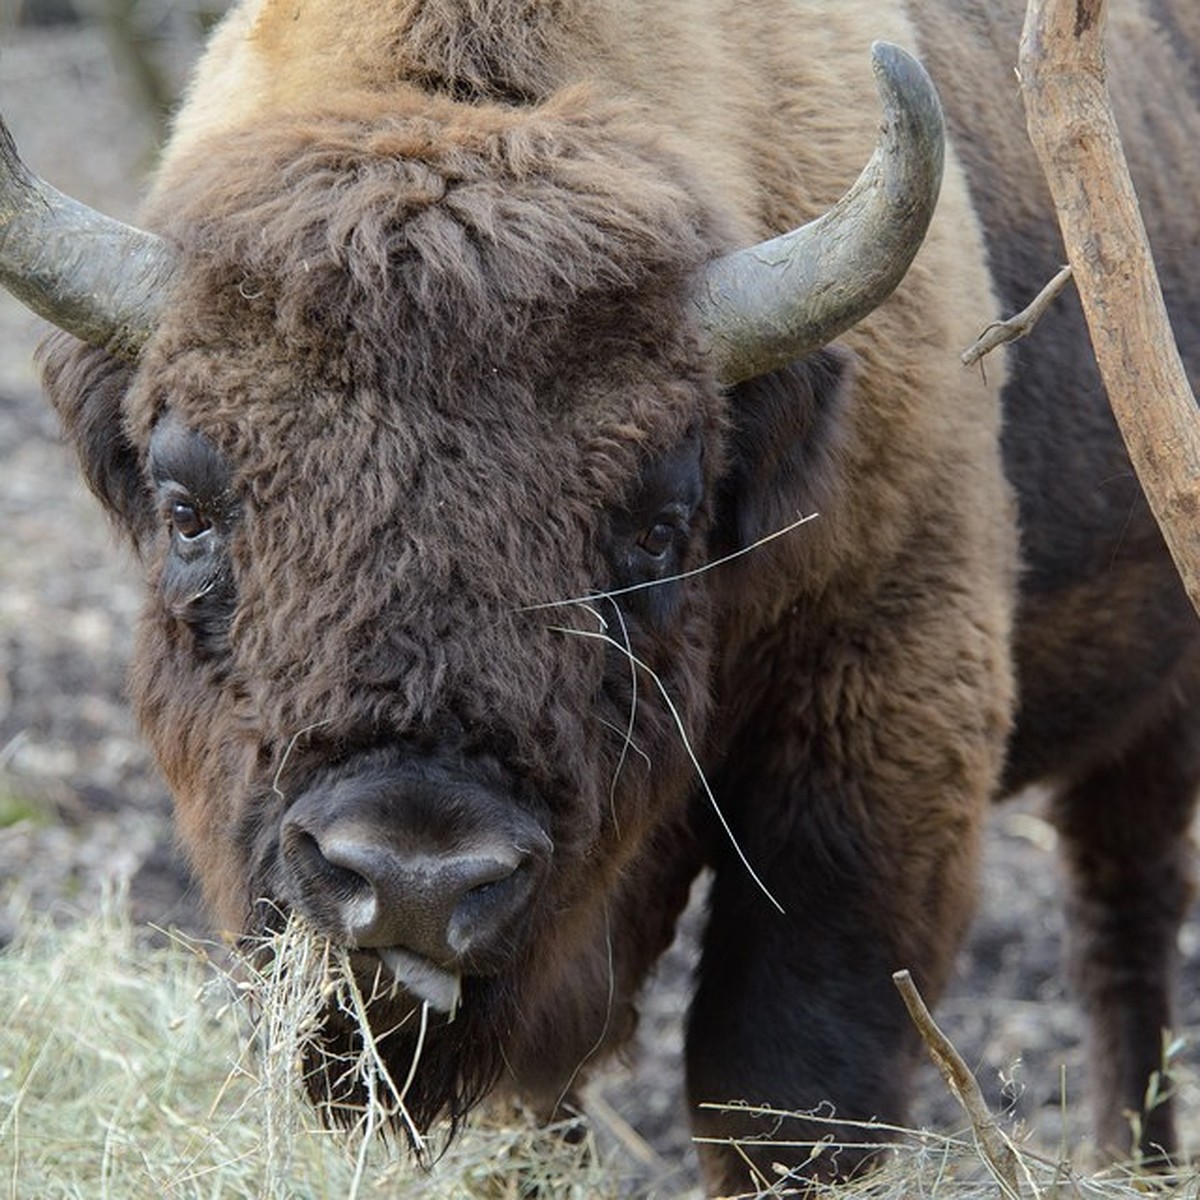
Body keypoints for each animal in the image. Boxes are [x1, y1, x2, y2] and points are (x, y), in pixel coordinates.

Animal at [2, 0, 1200, 1195]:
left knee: (1122, 918)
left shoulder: (883, 712)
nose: (414, 879)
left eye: (661, 523)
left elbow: (785, 1077)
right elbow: (538, 1101)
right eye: (186, 508)